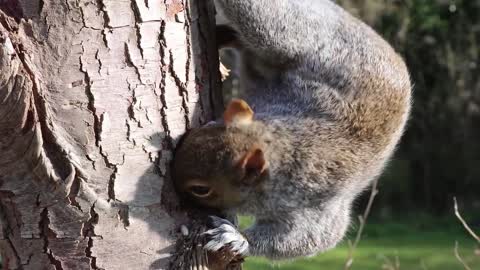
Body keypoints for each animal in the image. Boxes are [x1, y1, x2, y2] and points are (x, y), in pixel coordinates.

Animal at [172, 0, 412, 260]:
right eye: (207, 126)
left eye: (201, 189)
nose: (170, 181)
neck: (285, 145)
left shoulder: (315, 205)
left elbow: (310, 238)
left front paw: (237, 238)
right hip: (283, 37)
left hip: (287, 36)